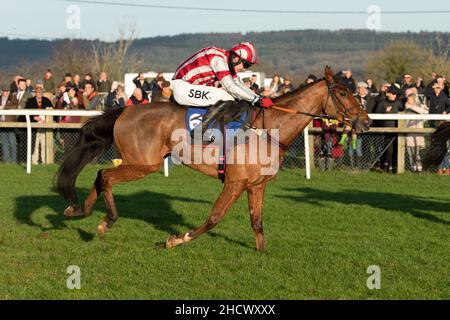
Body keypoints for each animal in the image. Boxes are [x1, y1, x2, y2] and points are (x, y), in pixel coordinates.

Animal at [55, 66, 370, 251]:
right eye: (343, 92)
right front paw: (176, 239)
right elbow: (214, 218)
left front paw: (261, 253)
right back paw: (105, 220)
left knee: (101, 179)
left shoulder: (257, 185)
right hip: (145, 163)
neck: (269, 129)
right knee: (105, 176)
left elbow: (257, 222)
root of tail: (125, 110)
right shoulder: (234, 182)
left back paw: (79, 210)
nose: (366, 122)